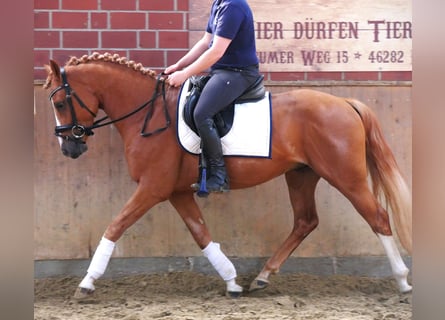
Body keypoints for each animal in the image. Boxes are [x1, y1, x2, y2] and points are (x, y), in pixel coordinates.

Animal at [43, 52, 412, 298]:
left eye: (60, 103)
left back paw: (403, 280)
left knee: (378, 218)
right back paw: (262, 277)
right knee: (306, 221)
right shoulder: (176, 192)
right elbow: (201, 233)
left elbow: (115, 226)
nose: (68, 148)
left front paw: (86, 282)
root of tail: (346, 103)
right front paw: (232, 281)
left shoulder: (152, 188)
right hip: (301, 175)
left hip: (345, 176)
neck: (149, 115)